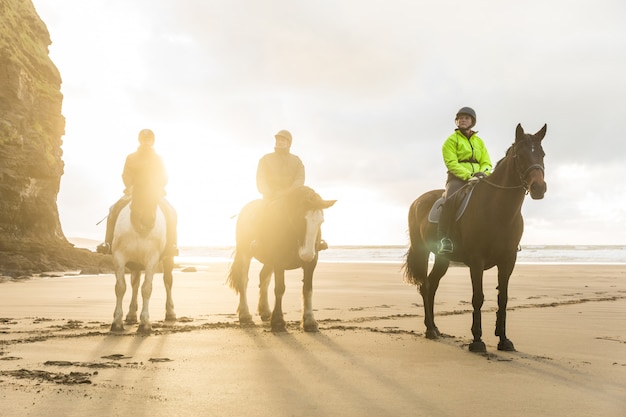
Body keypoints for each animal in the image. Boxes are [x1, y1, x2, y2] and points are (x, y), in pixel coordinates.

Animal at [110, 190, 176, 334]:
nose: (147, 219)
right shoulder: (119, 257)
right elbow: (120, 287)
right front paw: (117, 322)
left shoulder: (152, 259)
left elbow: (146, 288)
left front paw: (145, 323)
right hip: (135, 264)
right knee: (134, 284)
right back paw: (131, 315)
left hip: (168, 259)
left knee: (168, 281)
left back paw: (171, 313)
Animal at [227, 185, 334, 332]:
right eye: (300, 219)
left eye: (321, 221)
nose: (307, 254)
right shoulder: (278, 261)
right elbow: (279, 288)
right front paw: (278, 322)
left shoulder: (312, 262)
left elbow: (307, 290)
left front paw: (309, 321)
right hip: (245, 253)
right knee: (243, 281)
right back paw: (245, 315)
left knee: (264, 278)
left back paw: (265, 311)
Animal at [402, 123, 544, 352]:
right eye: (521, 156)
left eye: (542, 154)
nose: (539, 188)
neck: (498, 209)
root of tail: (417, 201)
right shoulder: (477, 261)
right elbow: (478, 298)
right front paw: (477, 341)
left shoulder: (508, 261)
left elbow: (503, 298)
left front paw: (504, 339)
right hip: (422, 252)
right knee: (425, 286)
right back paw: (430, 330)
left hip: (442, 259)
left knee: (432, 285)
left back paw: (435, 328)